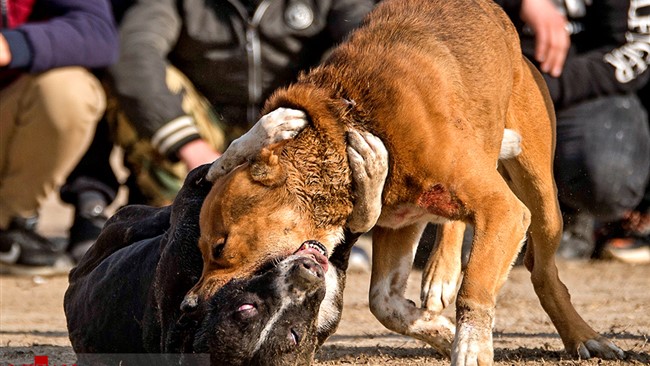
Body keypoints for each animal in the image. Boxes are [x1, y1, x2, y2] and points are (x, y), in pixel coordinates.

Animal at [187, 0, 624, 364]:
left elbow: (475, 287)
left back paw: (584, 337)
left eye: (219, 248)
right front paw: (443, 332)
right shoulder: (399, 223)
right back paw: (441, 273)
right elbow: (384, 303)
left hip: (540, 196)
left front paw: (470, 346)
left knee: (542, 270)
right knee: (454, 223)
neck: (350, 121)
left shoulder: (505, 210)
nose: (191, 304)